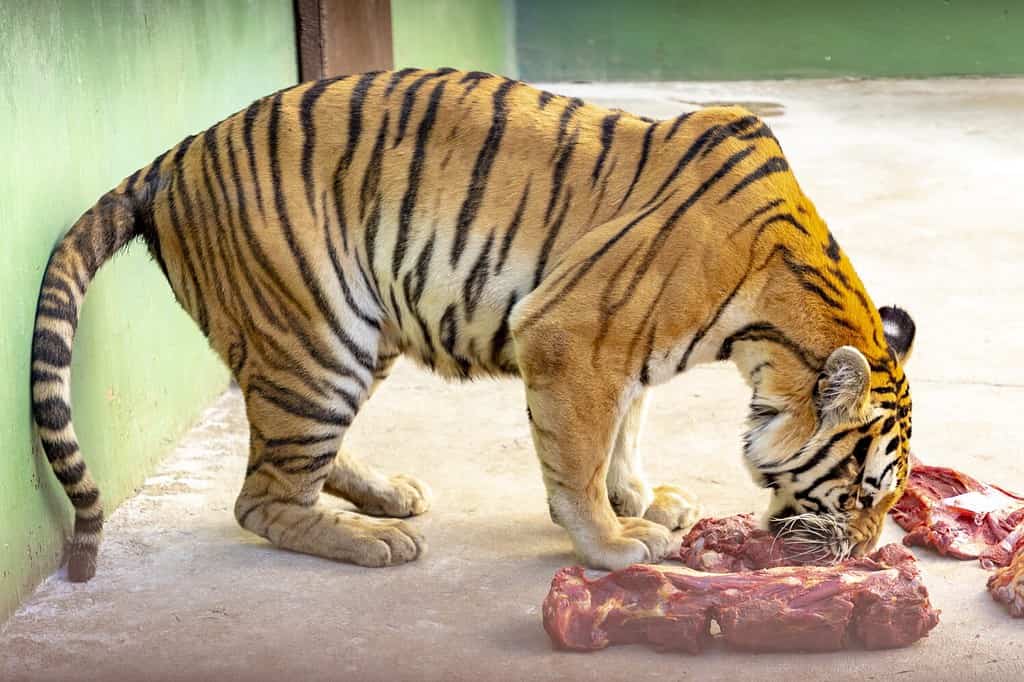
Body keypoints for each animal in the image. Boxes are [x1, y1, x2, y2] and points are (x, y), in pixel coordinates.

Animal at [30, 67, 916, 582]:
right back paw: (370, 541)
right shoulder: (573, 335)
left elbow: (626, 429)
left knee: (284, 455)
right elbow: (579, 459)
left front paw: (642, 498)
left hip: (350, 334)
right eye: (857, 493)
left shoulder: (627, 353)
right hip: (319, 339)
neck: (769, 329)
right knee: (260, 496)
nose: (864, 554)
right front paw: (614, 541)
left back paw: (388, 495)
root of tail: (172, 158)